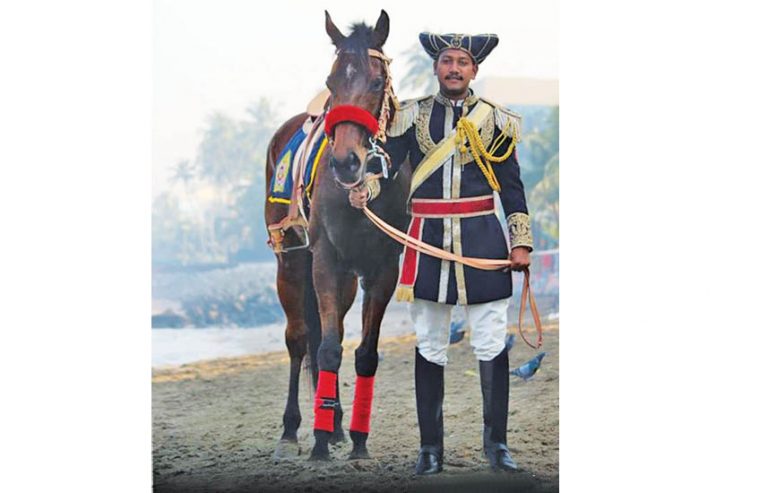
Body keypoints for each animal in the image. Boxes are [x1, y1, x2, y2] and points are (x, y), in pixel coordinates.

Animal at [263, 10, 409, 461]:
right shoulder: (326, 260)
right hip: (292, 262)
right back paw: (293, 430)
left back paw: (339, 426)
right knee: (299, 339)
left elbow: (365, 353)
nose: (347, 162)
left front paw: (357, 441)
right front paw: (319, 442)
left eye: (377, 82)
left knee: (335, 335)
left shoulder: (382, 269)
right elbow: (325, 348)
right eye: (331, 83)